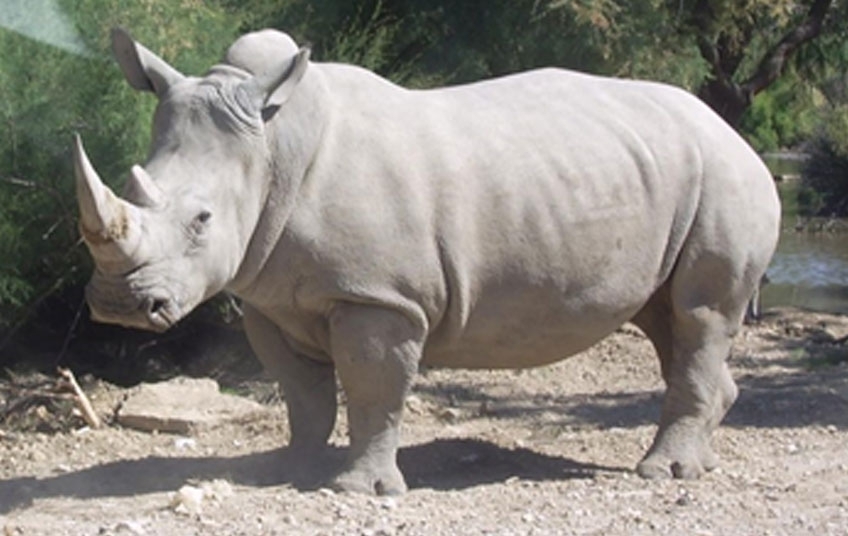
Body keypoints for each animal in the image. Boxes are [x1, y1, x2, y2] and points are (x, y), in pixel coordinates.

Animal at [74, 28, 780, 495]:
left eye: (202, 221)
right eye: (130, 184)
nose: (118, 305)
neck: (274, 148)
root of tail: (737, 135)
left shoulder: (380, 295)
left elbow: (372, 386)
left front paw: (359, 490)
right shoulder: (268, 298)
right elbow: (303, 393)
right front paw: (289, 470)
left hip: (726, 177)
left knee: (698, 316)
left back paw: (664, 473)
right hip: (671, 175)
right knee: (670, 321)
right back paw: (700, 463)